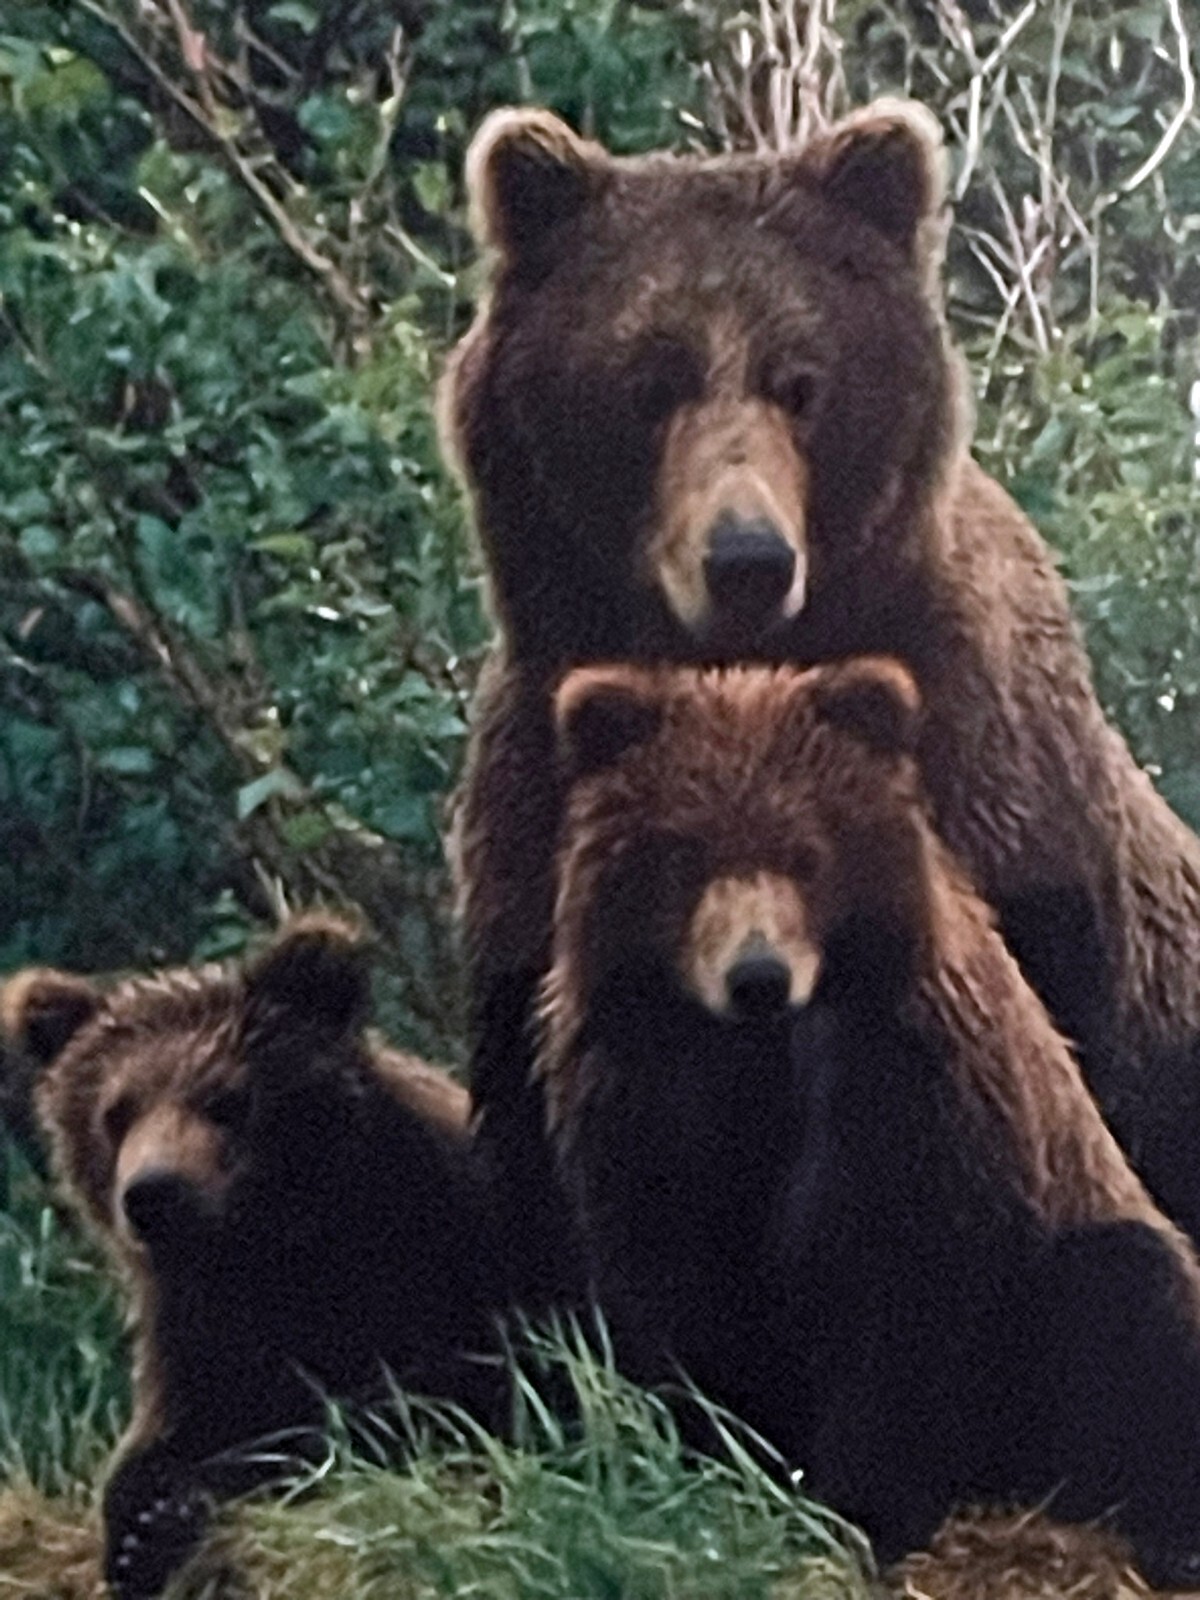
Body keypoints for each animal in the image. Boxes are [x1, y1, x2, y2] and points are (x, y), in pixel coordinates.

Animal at [1, 915, 505, 1600]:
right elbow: (170, 1435)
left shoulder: (445, 1263)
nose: (153, 1192)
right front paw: (140, 1528)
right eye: (117, 1111)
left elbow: (409, 1405)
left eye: (226, 1099)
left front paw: (174, 1512)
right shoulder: (195, 1328)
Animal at [539, 656, 1200, 1589]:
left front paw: (862, 1511)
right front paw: (708, 1475)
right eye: (686, 851)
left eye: (806, 852)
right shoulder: (648, 1108)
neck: (755, 1063)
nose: (757, 976)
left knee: (1126, 1295)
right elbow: (680, 1302)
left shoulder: (905, 1107)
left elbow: (892, 1313)